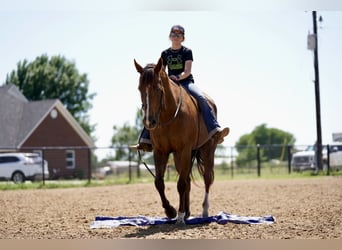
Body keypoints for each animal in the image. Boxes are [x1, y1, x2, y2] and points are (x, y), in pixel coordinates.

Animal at [134, 58, 219, 223]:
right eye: (139, 88)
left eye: (158, 88)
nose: (149, 122)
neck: (170, 115)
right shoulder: (160, 151)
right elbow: (159, 182)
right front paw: (171, 211)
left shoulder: (184, 149)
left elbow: (180, 184)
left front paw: (179, 215)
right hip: (182, 156)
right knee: (187, 181)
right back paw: (187, 212)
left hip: (206, 149)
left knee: (207, 178)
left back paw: (204, 211)